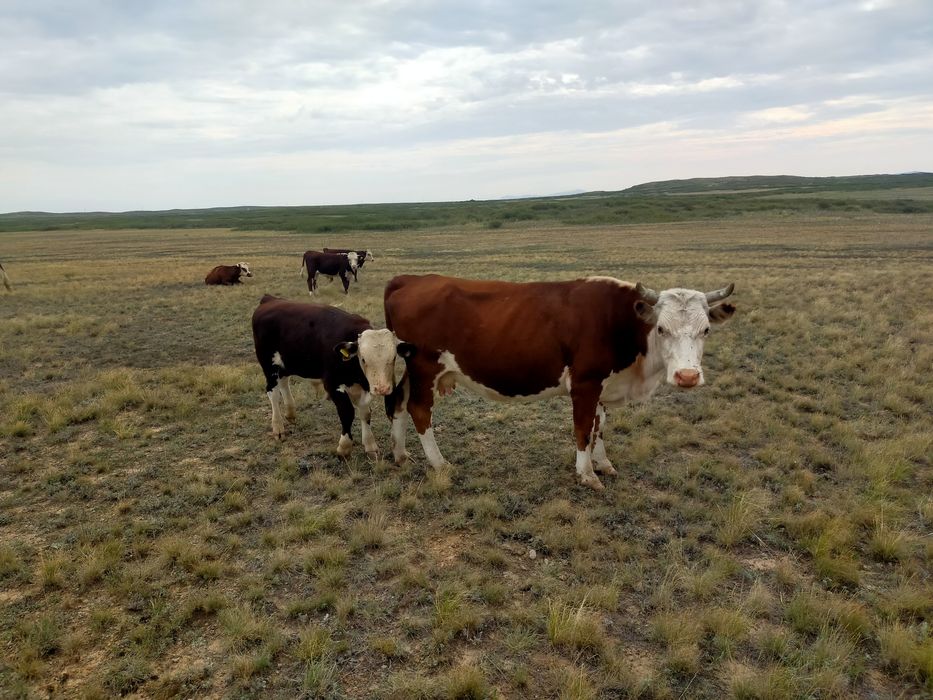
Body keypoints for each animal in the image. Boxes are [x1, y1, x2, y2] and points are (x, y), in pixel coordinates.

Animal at [252, 294, 414, 457]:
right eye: (363, 359)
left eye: (393, 358)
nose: (382, 388)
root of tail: (270, 299)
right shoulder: (332, 385)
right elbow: (347, 412)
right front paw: (344, 447)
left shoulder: (362, 388)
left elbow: (365, 413)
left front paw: (370, 445)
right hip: (268, 365)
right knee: (273, 393)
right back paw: (278, 428)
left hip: (285, 363)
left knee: (284, 382)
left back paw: (290, 413)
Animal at [383, 274, 736, 489]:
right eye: (662, 328)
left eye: (706, 330)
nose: (687, 376)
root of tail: (411, 279)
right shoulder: (585, 384)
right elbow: (583, 430)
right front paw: (587, 474)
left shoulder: (604, 386)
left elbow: (599, 427)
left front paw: (603, 463)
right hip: (425, 368)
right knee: (418, 410)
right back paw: (439, 462)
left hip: (412, 368)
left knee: (398, 402)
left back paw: (401, 455)